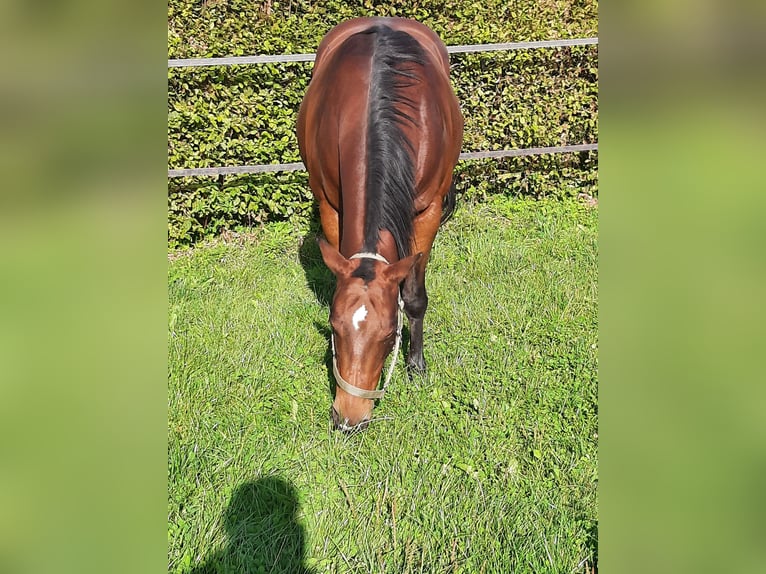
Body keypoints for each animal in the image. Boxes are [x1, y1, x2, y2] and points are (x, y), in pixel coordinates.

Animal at [297, 17, 463, 432]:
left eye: (389, 335)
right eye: (334, 326)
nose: (349, 419)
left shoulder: (427, 212)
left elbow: (415, 298)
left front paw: (416, 364)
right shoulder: (330, 207)